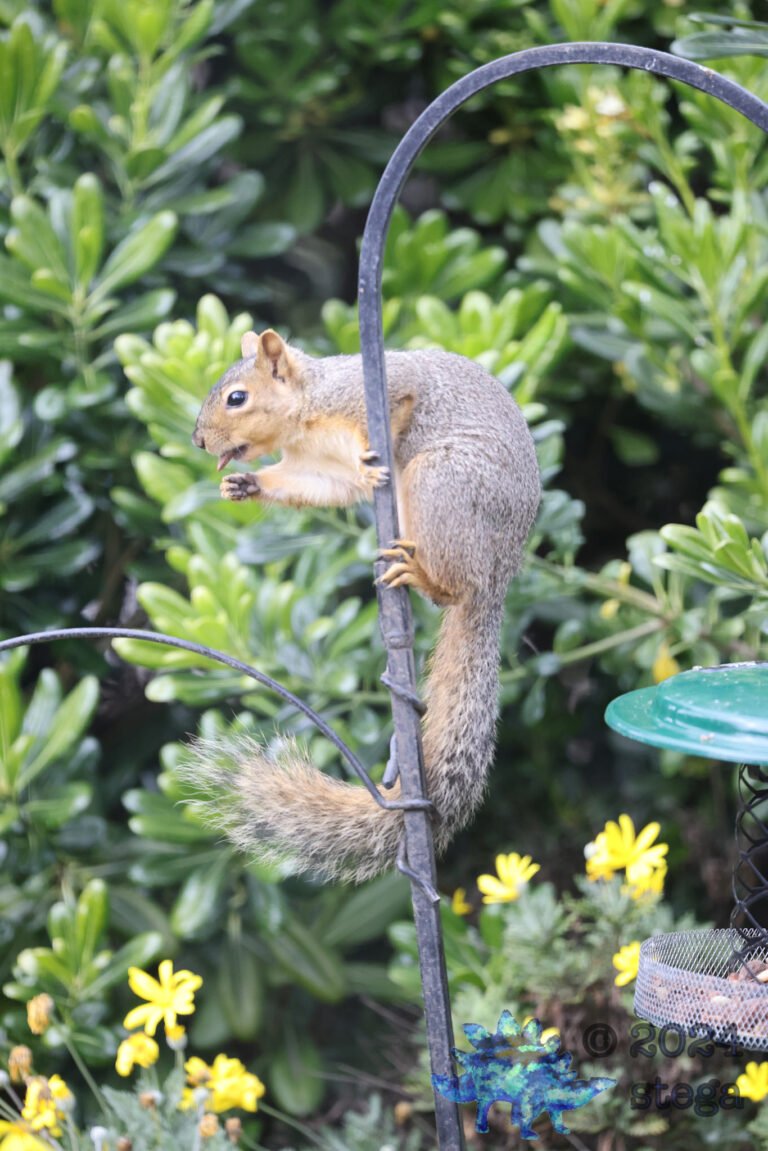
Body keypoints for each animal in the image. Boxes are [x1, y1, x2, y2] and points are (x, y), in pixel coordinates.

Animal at [188, 328, 541, 883]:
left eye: (236, 398)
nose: (198, 441)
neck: (305, 414)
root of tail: (499, 575)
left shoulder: (372, 391)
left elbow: (399, 399)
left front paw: (368, 457)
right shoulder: (319, 469)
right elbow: (326, 484)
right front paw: (247, 483)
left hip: (444, 481)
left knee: (455, 588)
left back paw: (422, 574)